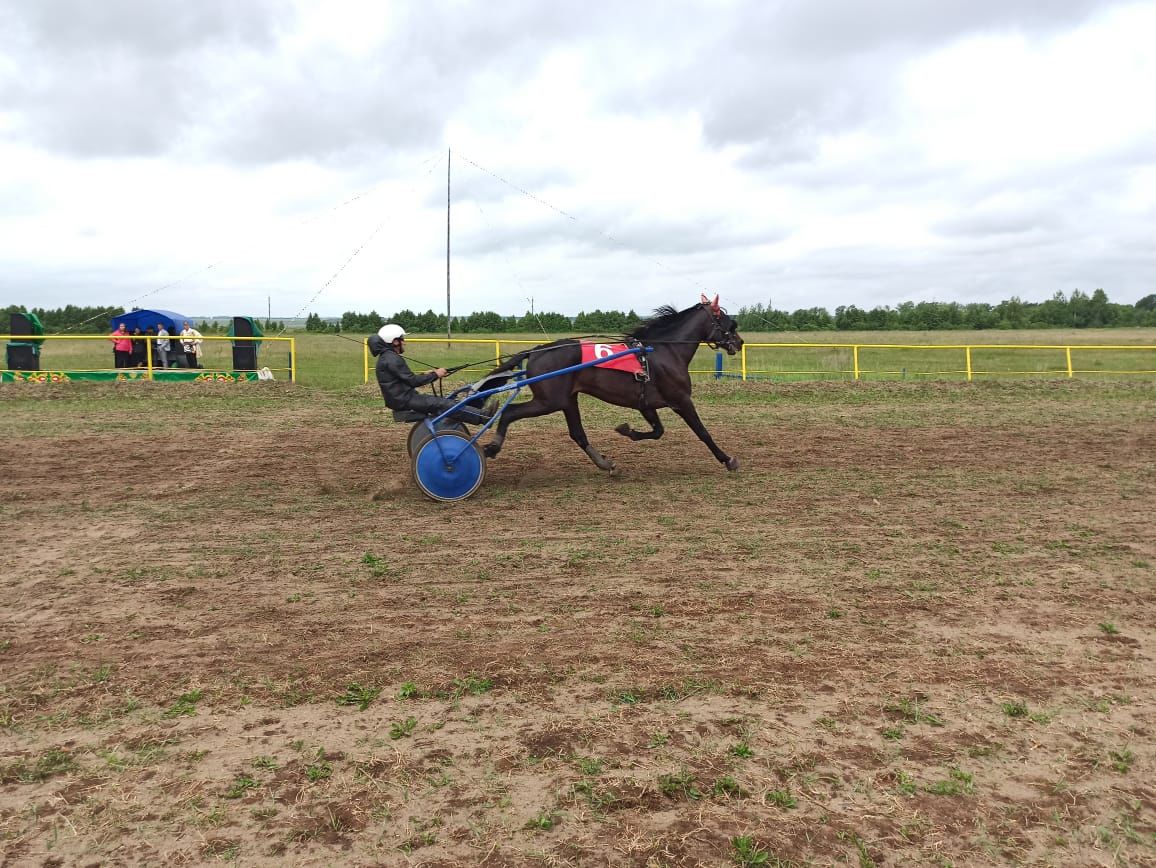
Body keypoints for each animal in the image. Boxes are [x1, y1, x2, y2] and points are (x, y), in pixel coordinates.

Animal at [478, 298, 739, 476]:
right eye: (728, 323)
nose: (739, 342)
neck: (664, 351)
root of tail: (536, 351)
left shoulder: (646, 403)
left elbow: (657, 431)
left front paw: (626, 430)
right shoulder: (681, 400)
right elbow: (702, 432)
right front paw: (727, 459)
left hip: (567, 400)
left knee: (578, 434)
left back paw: (605, 463)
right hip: (548, 401)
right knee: (510, 412)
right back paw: (493, 447)